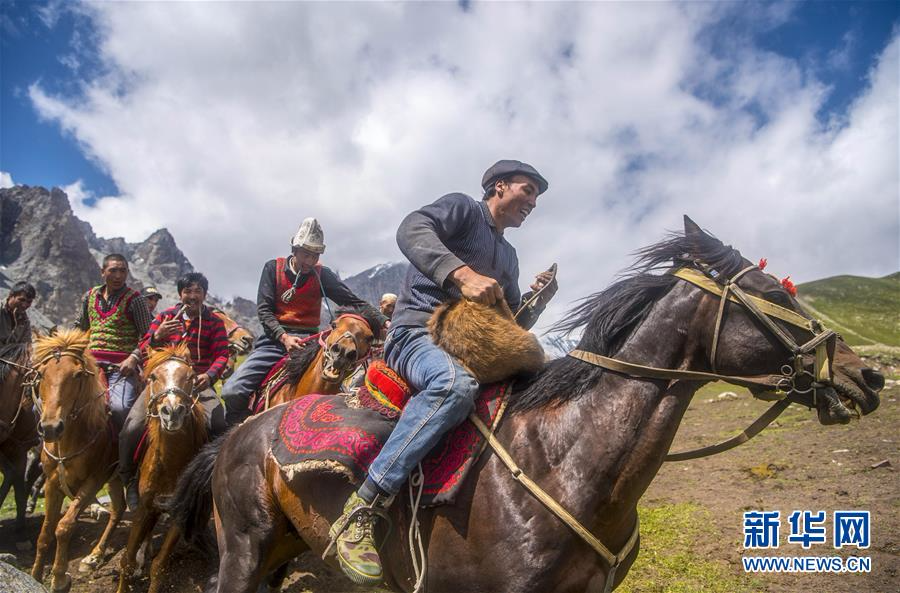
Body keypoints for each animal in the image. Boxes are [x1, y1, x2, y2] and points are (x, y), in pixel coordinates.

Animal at [30, 328, 125, 592]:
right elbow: (45, 533)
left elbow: (64, 527)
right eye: (41, 373)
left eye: (78, 374)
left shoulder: (93, 480)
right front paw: (35, 575)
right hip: (115, 478)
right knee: (118, 508)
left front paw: (59, 578)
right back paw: (94, 556)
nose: (50, 428)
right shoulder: (52, 482)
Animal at [115, 342, 207, 592]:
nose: (172, 412)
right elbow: (126, 559)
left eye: (191, 377)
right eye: (154, 377)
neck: (169, 464)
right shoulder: (144, 507)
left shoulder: (179, 512)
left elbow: (159, 566)